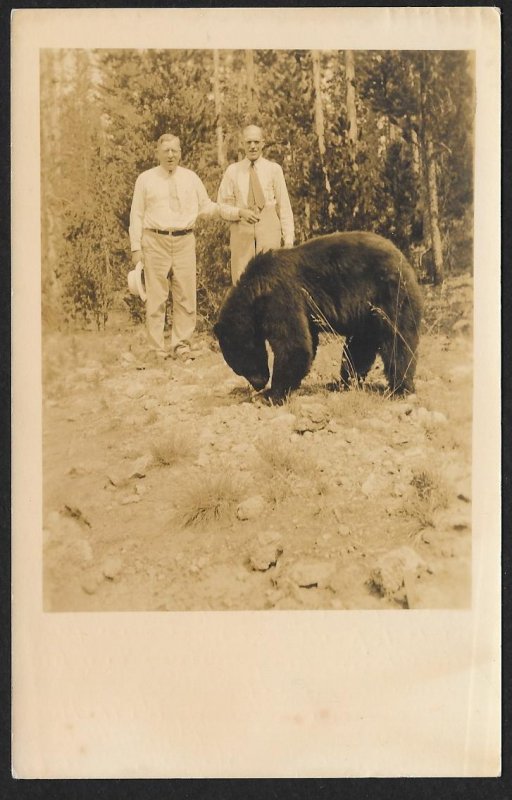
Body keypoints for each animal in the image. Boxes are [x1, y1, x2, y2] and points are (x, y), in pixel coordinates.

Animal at [213, 231, 424, 406]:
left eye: (242, 362)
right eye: (238, 368)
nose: (259, 383)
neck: (255, 292)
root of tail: (404, 260)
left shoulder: (280, 296)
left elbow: (293, 344)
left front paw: (271, 395)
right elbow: (307, 341)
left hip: (389, 296)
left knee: (397, 341)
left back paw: (400, 388)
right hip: (366, 315)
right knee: (359, 348)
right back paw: (342, 383)